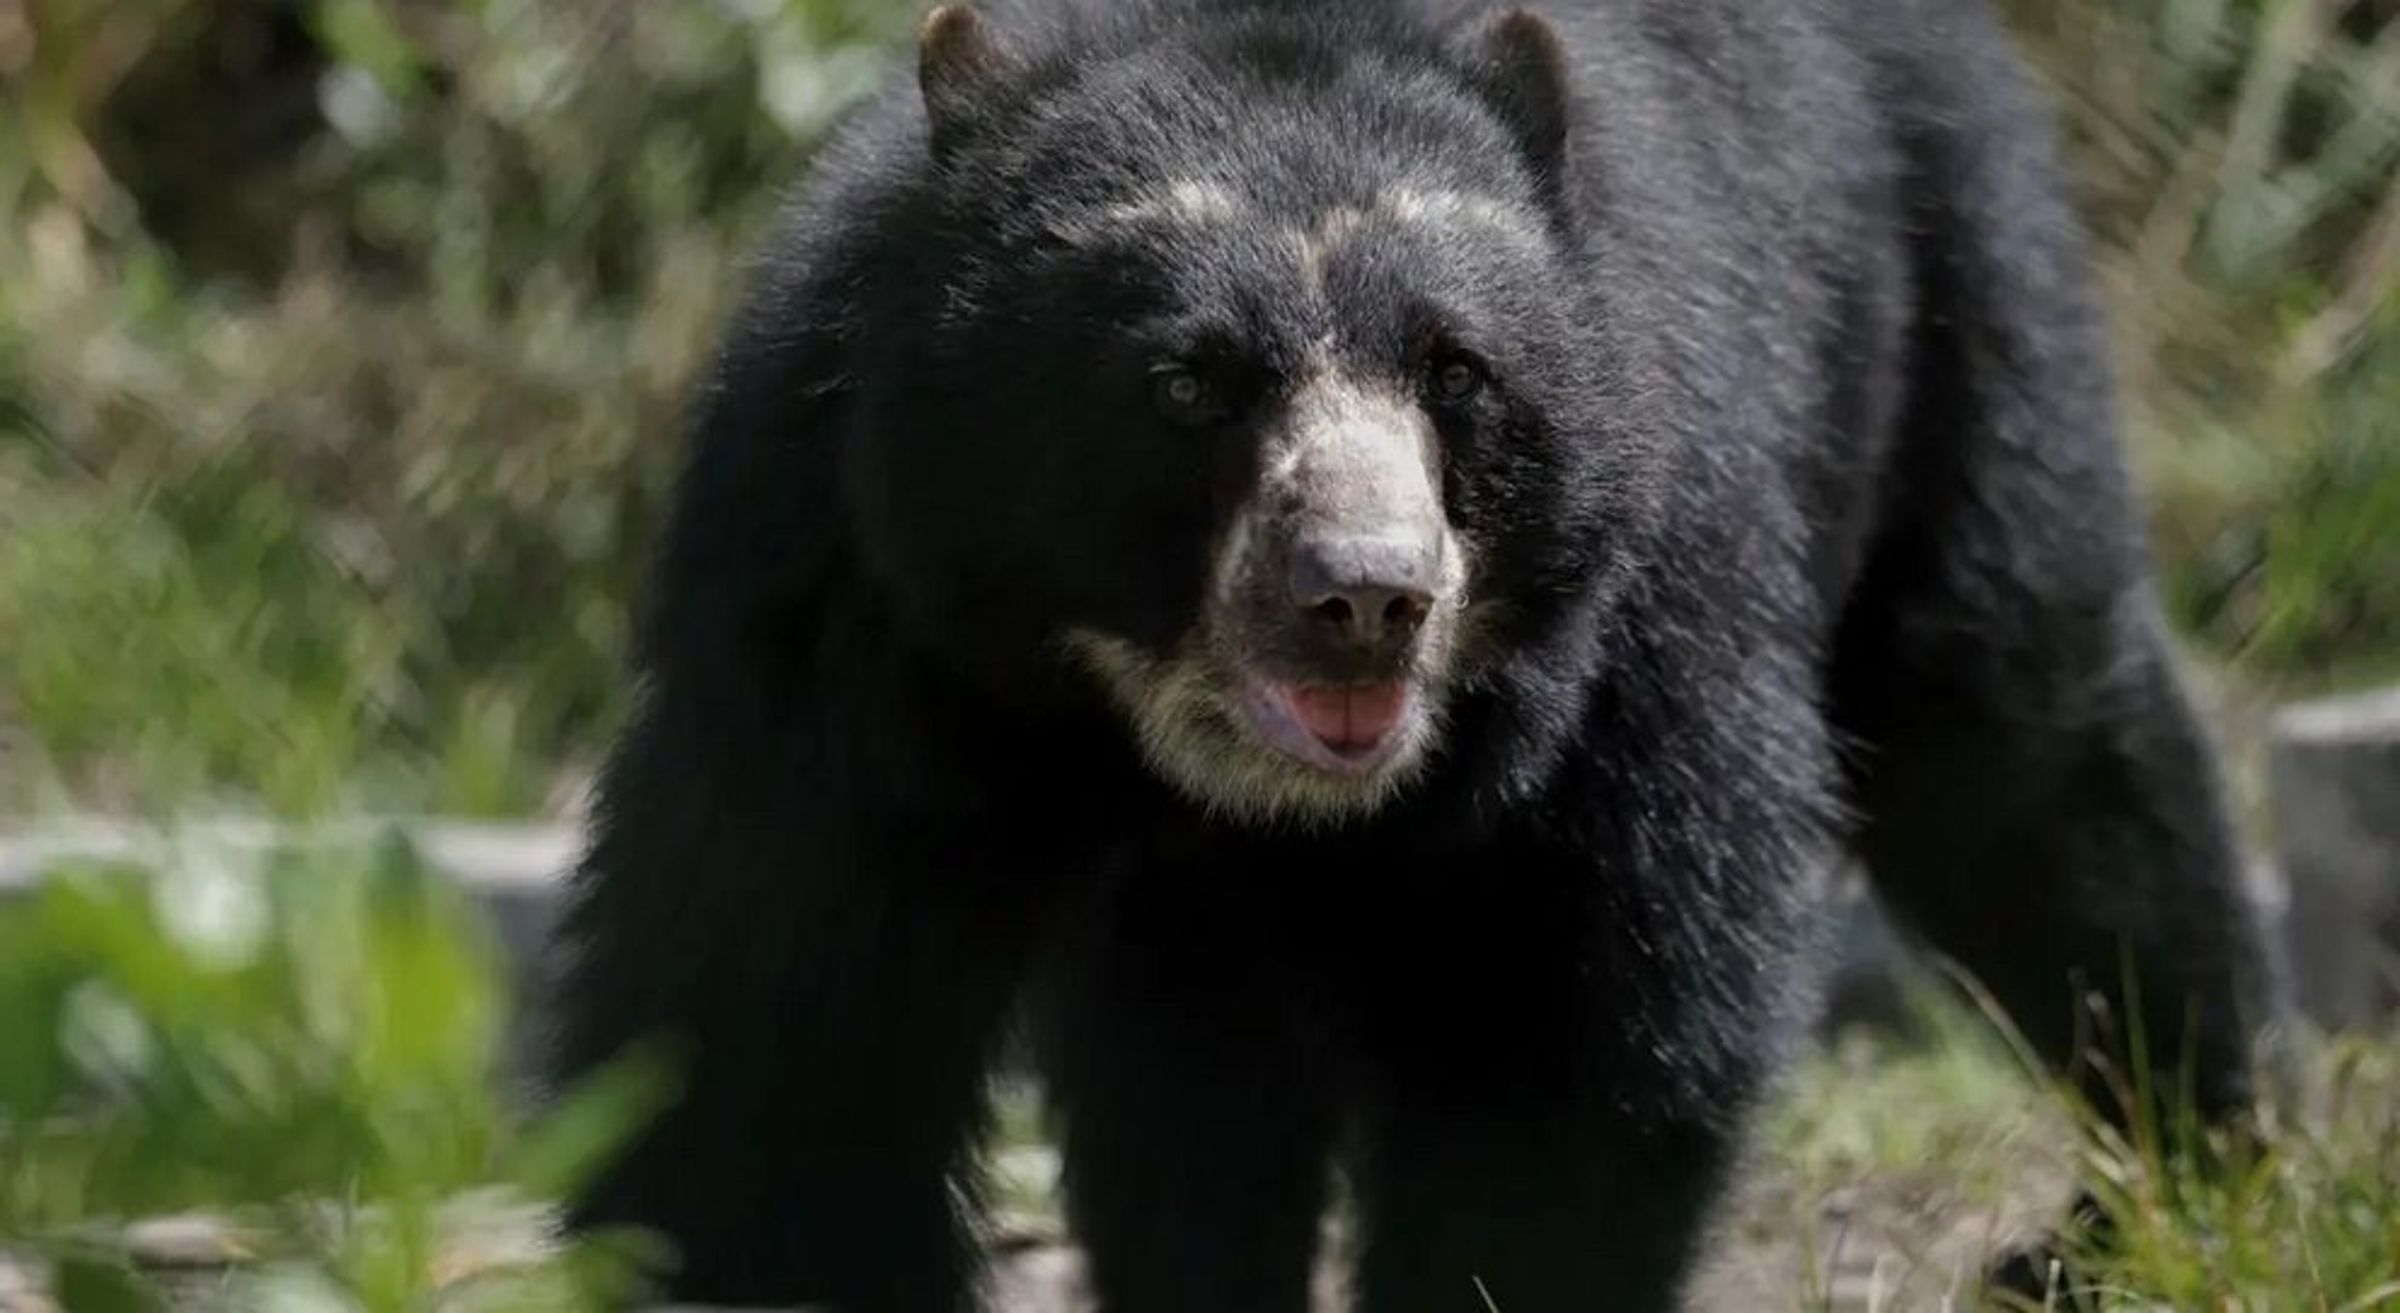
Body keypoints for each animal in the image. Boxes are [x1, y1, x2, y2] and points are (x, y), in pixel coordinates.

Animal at [544, 0, 2283, 1308]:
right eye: (1187, 384)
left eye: (1459, 372)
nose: (1367, 596)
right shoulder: (844, 593)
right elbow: (775, 1054)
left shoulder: (1637, 627)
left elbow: (1573, 1031)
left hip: (1942, 269)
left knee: (2027, 742)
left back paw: (2170, 1203)